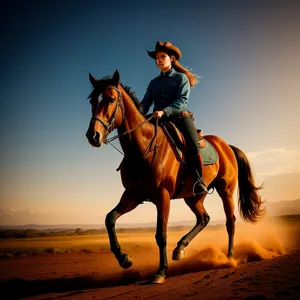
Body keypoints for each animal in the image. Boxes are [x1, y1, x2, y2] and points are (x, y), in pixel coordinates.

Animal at [85, 69, 264, 284]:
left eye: (111, 99)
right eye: (92, 100)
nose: (93, 136)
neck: (143, 149)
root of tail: (226, 146)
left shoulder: (162, 197)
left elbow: (161, 235)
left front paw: (161, 271)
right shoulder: (132, 196)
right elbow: (109, 219)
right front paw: (124, 258)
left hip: (226, 191)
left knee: (230, 222)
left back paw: (229, 257)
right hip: (194, 197)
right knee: (204, 218)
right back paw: (180, 248)